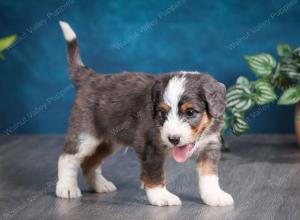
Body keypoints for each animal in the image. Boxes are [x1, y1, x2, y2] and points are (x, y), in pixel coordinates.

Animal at [56, 21, 234, 207]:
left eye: (190, 112)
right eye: (162, 112)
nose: (173, 139)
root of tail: (90, 77)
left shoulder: (209, 144)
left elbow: (209, 175)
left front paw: (214, 196)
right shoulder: (150, 145)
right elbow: (155, 173)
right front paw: (162, 196)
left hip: (108, 141)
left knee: (90, 163)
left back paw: (100, 185)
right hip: (85, 134)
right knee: (67, 158)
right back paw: (67, 188)